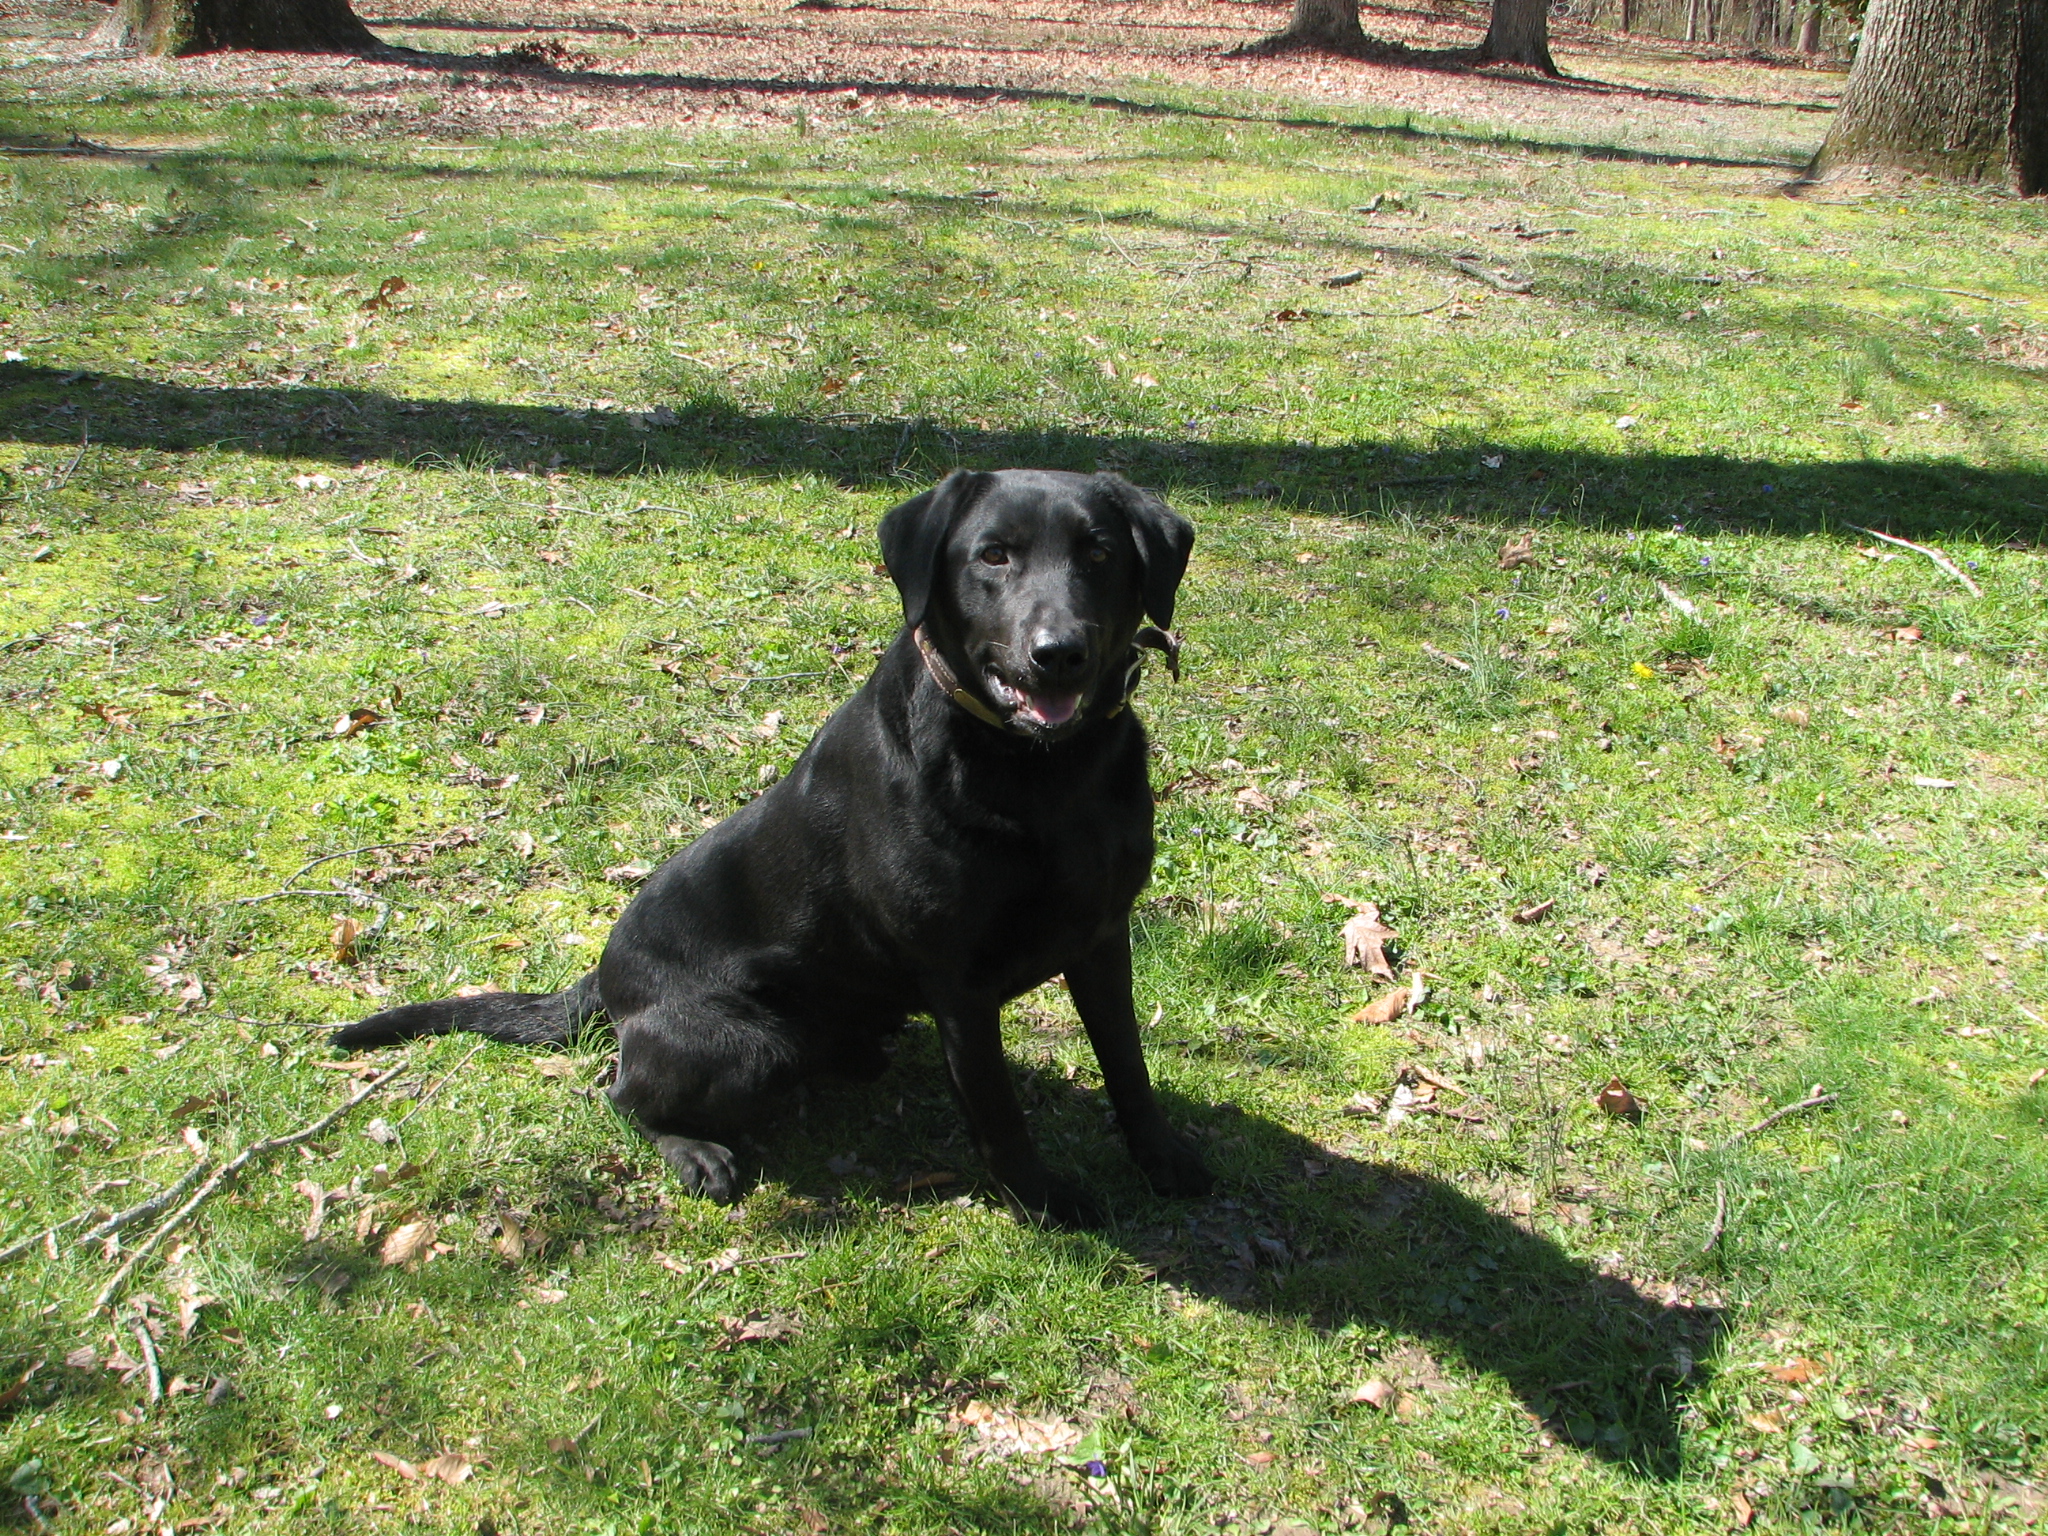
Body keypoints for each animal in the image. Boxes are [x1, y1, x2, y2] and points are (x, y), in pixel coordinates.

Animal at [327, 466, 1204, 1228]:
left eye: (1099, 553)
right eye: (994, 555)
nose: (1060, 652)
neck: (1044, 775)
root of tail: (604, 982)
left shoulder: (1102, 935)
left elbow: (1128, 1062)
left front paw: (1163, 1159)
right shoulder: (959, 981)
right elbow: (998, 1111)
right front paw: (1044, 1201)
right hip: (748, 1045)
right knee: (618, 1094)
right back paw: (695, 1152)